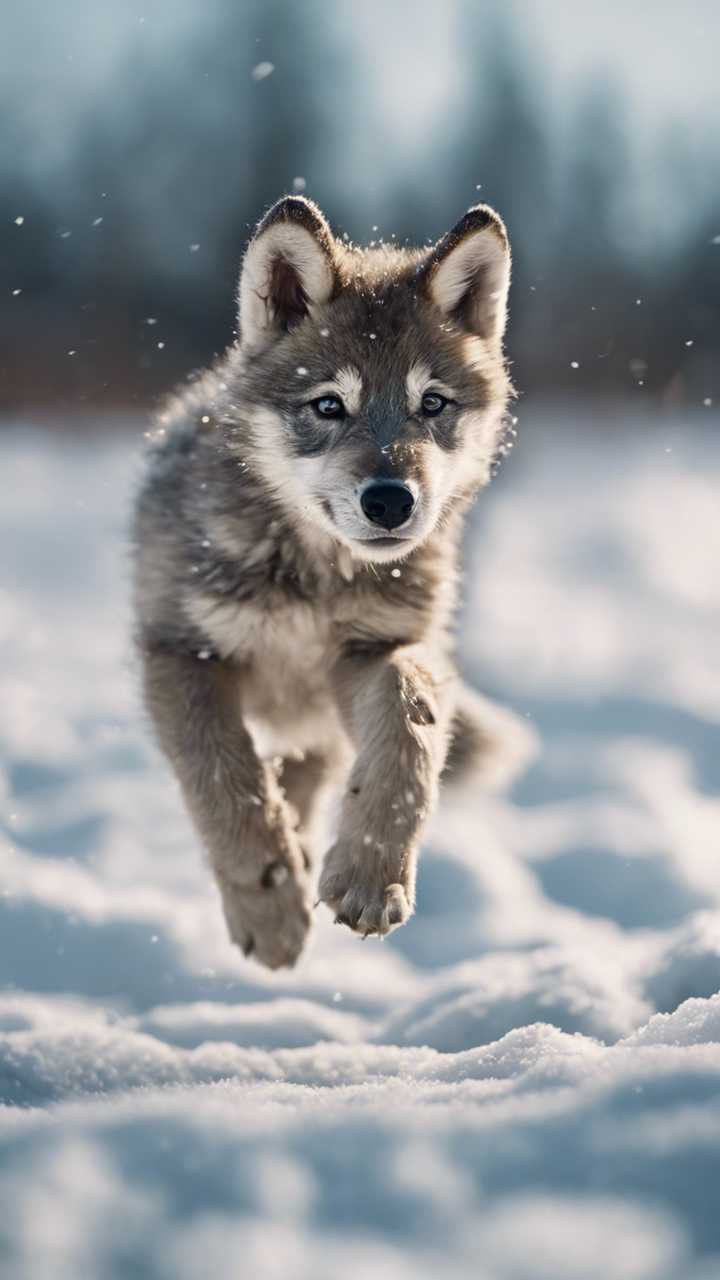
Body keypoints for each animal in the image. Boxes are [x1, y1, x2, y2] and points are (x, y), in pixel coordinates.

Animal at [132, 195, 534, 969]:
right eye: (328, 406)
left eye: (432, 404)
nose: (391, 501)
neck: (313, 578)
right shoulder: (182, 652)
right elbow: (224, 778)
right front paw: (269, 906)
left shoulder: (375, 653)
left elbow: (408, 737)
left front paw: (371, 877)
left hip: (318, 720)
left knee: (313, 772)